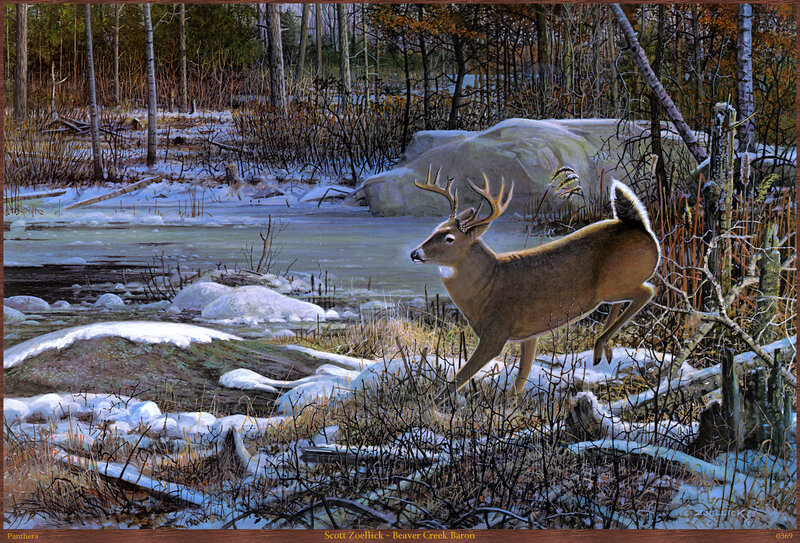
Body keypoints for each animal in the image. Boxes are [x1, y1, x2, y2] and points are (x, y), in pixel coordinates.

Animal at [409, 167, 661, 395]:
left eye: (449, 238)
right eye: (435, 229)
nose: (415, 253)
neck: (489, 284)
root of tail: (642, 226)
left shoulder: (496, 334)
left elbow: (456, 381)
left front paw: (434, 405)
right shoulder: (530, 334)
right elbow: (518, 384)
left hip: (615, 284)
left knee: (648, 291)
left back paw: (600, 345)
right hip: (613, 288)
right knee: (626, 301)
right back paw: (604, 352)